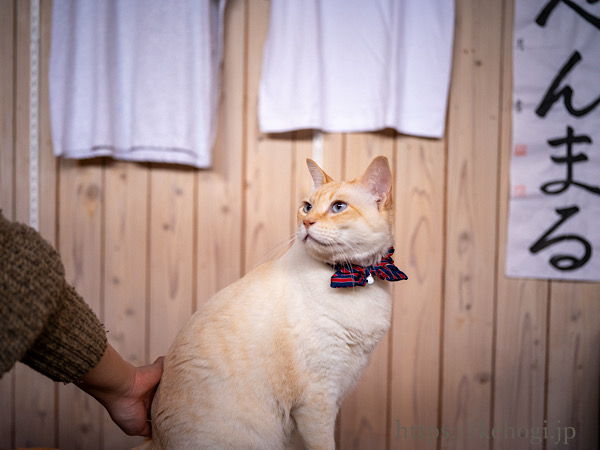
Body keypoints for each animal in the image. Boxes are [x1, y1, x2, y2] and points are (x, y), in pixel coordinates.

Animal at [144, 156, 408, 448]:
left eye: (338, 207)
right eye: (307, 207)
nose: (307, 223)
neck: (360, 277)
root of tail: (155, 440)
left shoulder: (339, 388)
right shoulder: (318, 400)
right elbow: (325, 444)